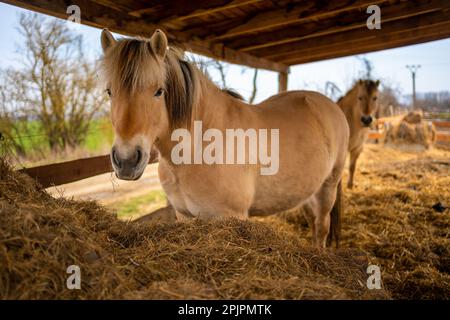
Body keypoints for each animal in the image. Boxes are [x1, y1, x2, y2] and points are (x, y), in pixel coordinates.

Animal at [100, 28, 350, 248]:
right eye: (109, 91)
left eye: (159, 91)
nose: (126, 160)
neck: (199, 148)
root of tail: (332, 107)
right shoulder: (184, 215)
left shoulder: (232, 216)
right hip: (309, 190)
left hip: (328, 186)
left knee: (322, 227)